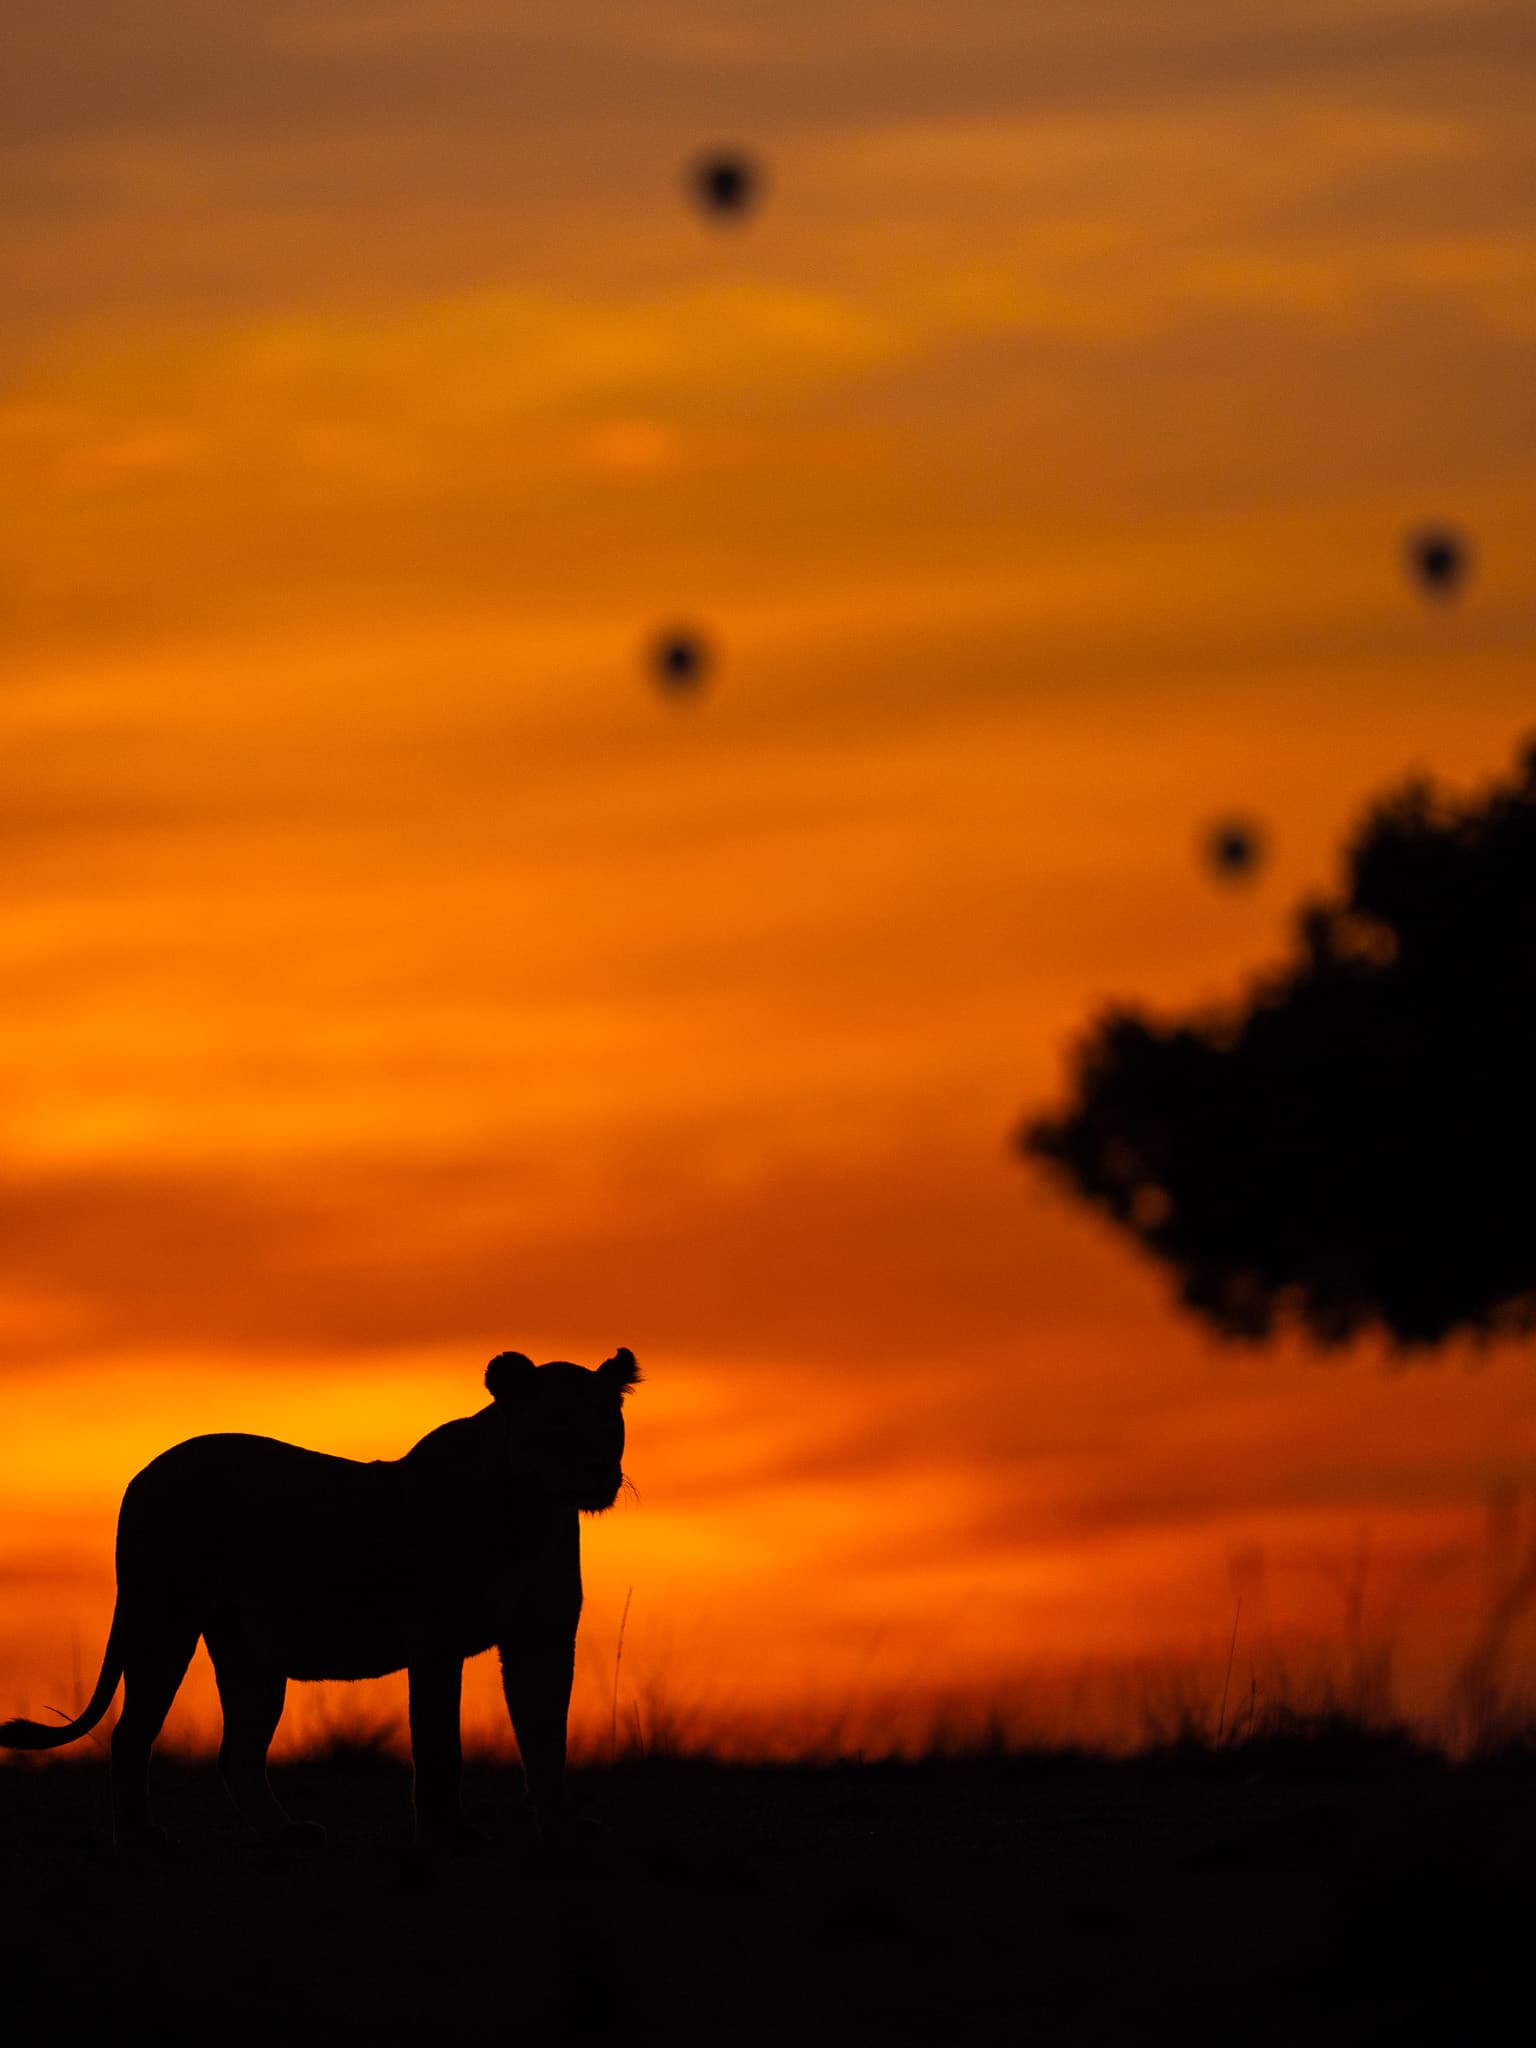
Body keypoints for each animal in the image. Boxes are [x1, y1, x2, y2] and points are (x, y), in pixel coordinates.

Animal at [0, 1346, 641, 1852]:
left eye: (607, 1423)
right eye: (556, 1425)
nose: (597, 1470)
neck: (533, 1515)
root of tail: (143, 1475)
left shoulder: (543, 1639)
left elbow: (546, 1740)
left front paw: (561, 1832)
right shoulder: (436, 1642)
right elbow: (441, 1745)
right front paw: (448, 1836)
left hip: (249, 1657)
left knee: (237, 1752)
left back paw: (286, 1834)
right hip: (163, 1619)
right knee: (132, 1734)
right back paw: (142, 1838)